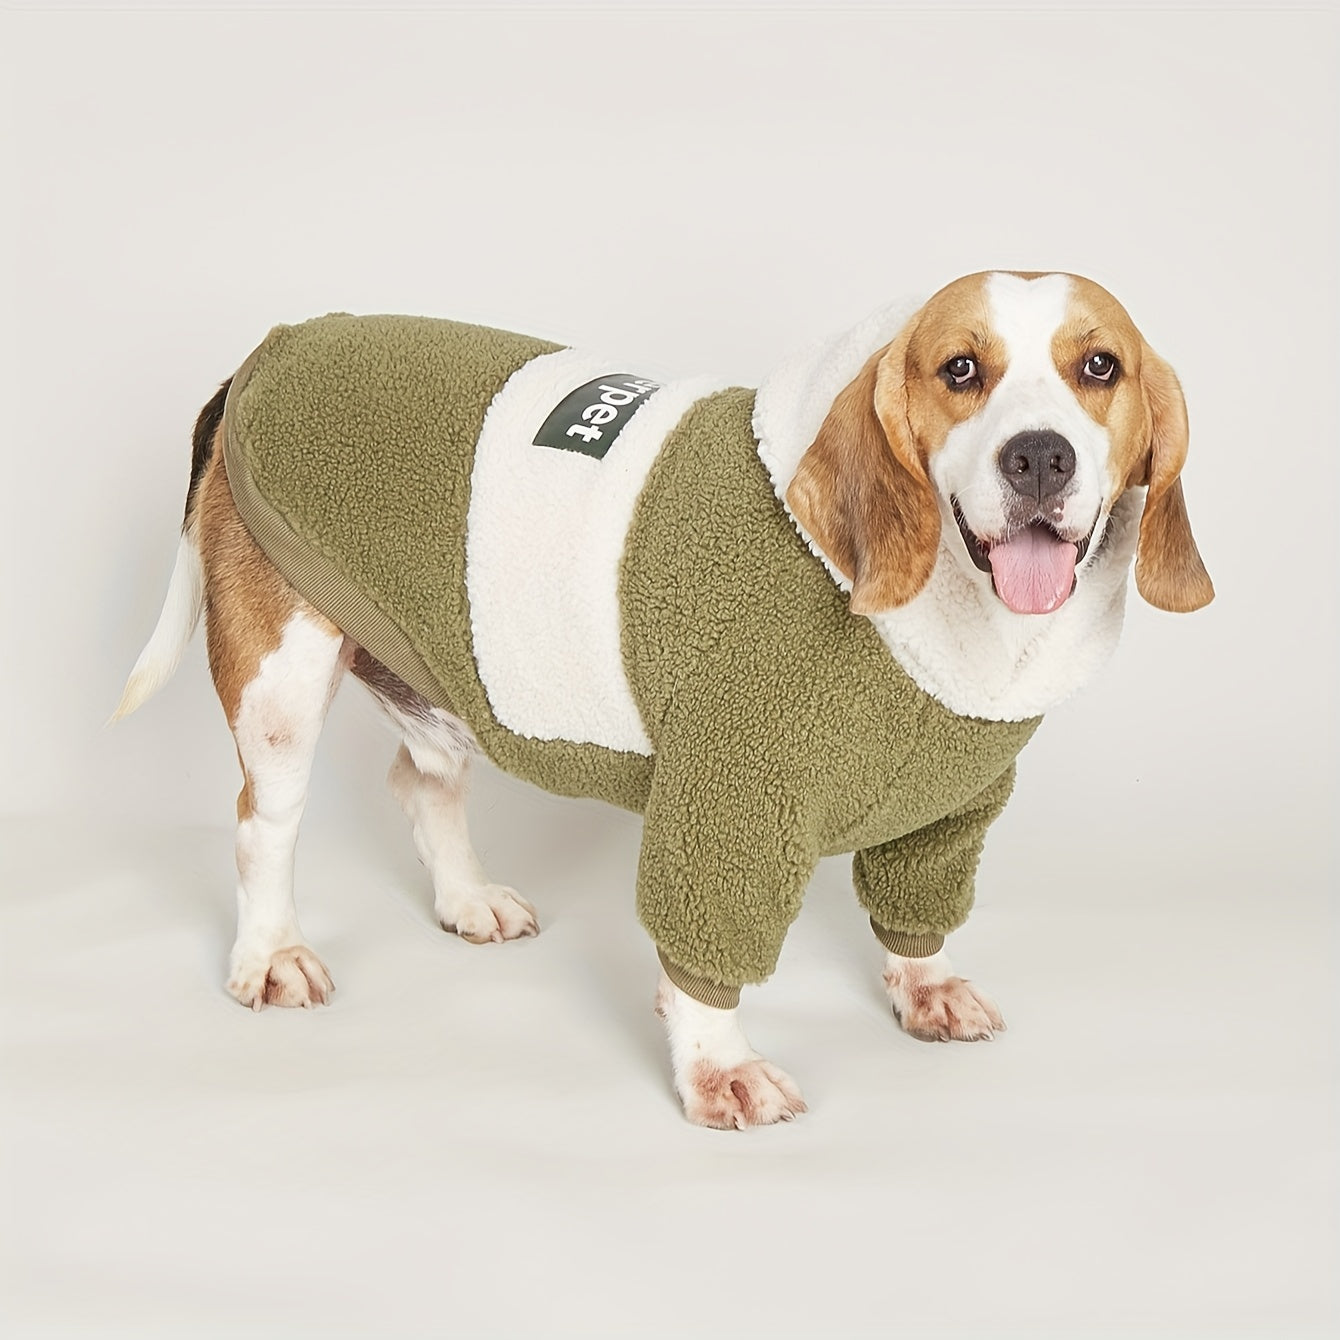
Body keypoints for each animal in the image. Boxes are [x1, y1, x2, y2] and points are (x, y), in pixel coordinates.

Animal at [117, 274, 1216, 1130]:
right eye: (958, 370)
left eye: (1100, 367)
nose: (1038, 455)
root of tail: (281, 340)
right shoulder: (732, 806)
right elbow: (708, 957)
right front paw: (716, 1065)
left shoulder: (946, 816)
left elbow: (917, 915)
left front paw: (925, 983)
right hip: (283, 678)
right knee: (264, 825)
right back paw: (271, 954)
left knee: (421, 779)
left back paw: (467, 898)